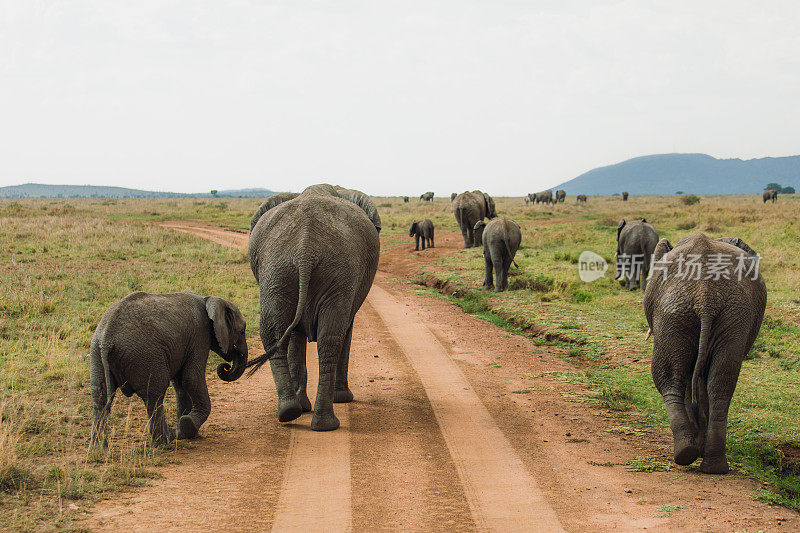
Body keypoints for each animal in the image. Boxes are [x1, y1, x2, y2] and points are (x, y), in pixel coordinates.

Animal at [87, 290, 247, 448]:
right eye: (242, 331)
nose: (226, 366)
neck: (208, 299)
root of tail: (107, 339)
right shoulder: (200, 335)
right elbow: (191, 379)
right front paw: (186, 426)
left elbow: (180, 384)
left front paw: (184, 433)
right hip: (146, 356)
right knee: (154, 395)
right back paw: (165, 441)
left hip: (96, 353)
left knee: (99, 397)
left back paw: (98, 449)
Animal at [245, 185, 380, 430]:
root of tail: (305, 249)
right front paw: (339, 399)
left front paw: (303, 406)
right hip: (322, 270)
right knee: (331, 338)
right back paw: (322, 420)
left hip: (278, 270)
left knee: (275, 333)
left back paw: (292, 412)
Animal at [640, 235, 764, 472]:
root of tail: (705, 293)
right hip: (729, 315)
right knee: (721, 384)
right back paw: (712, 465)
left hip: (674, 312)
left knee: (668, 379)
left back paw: (685, 453)